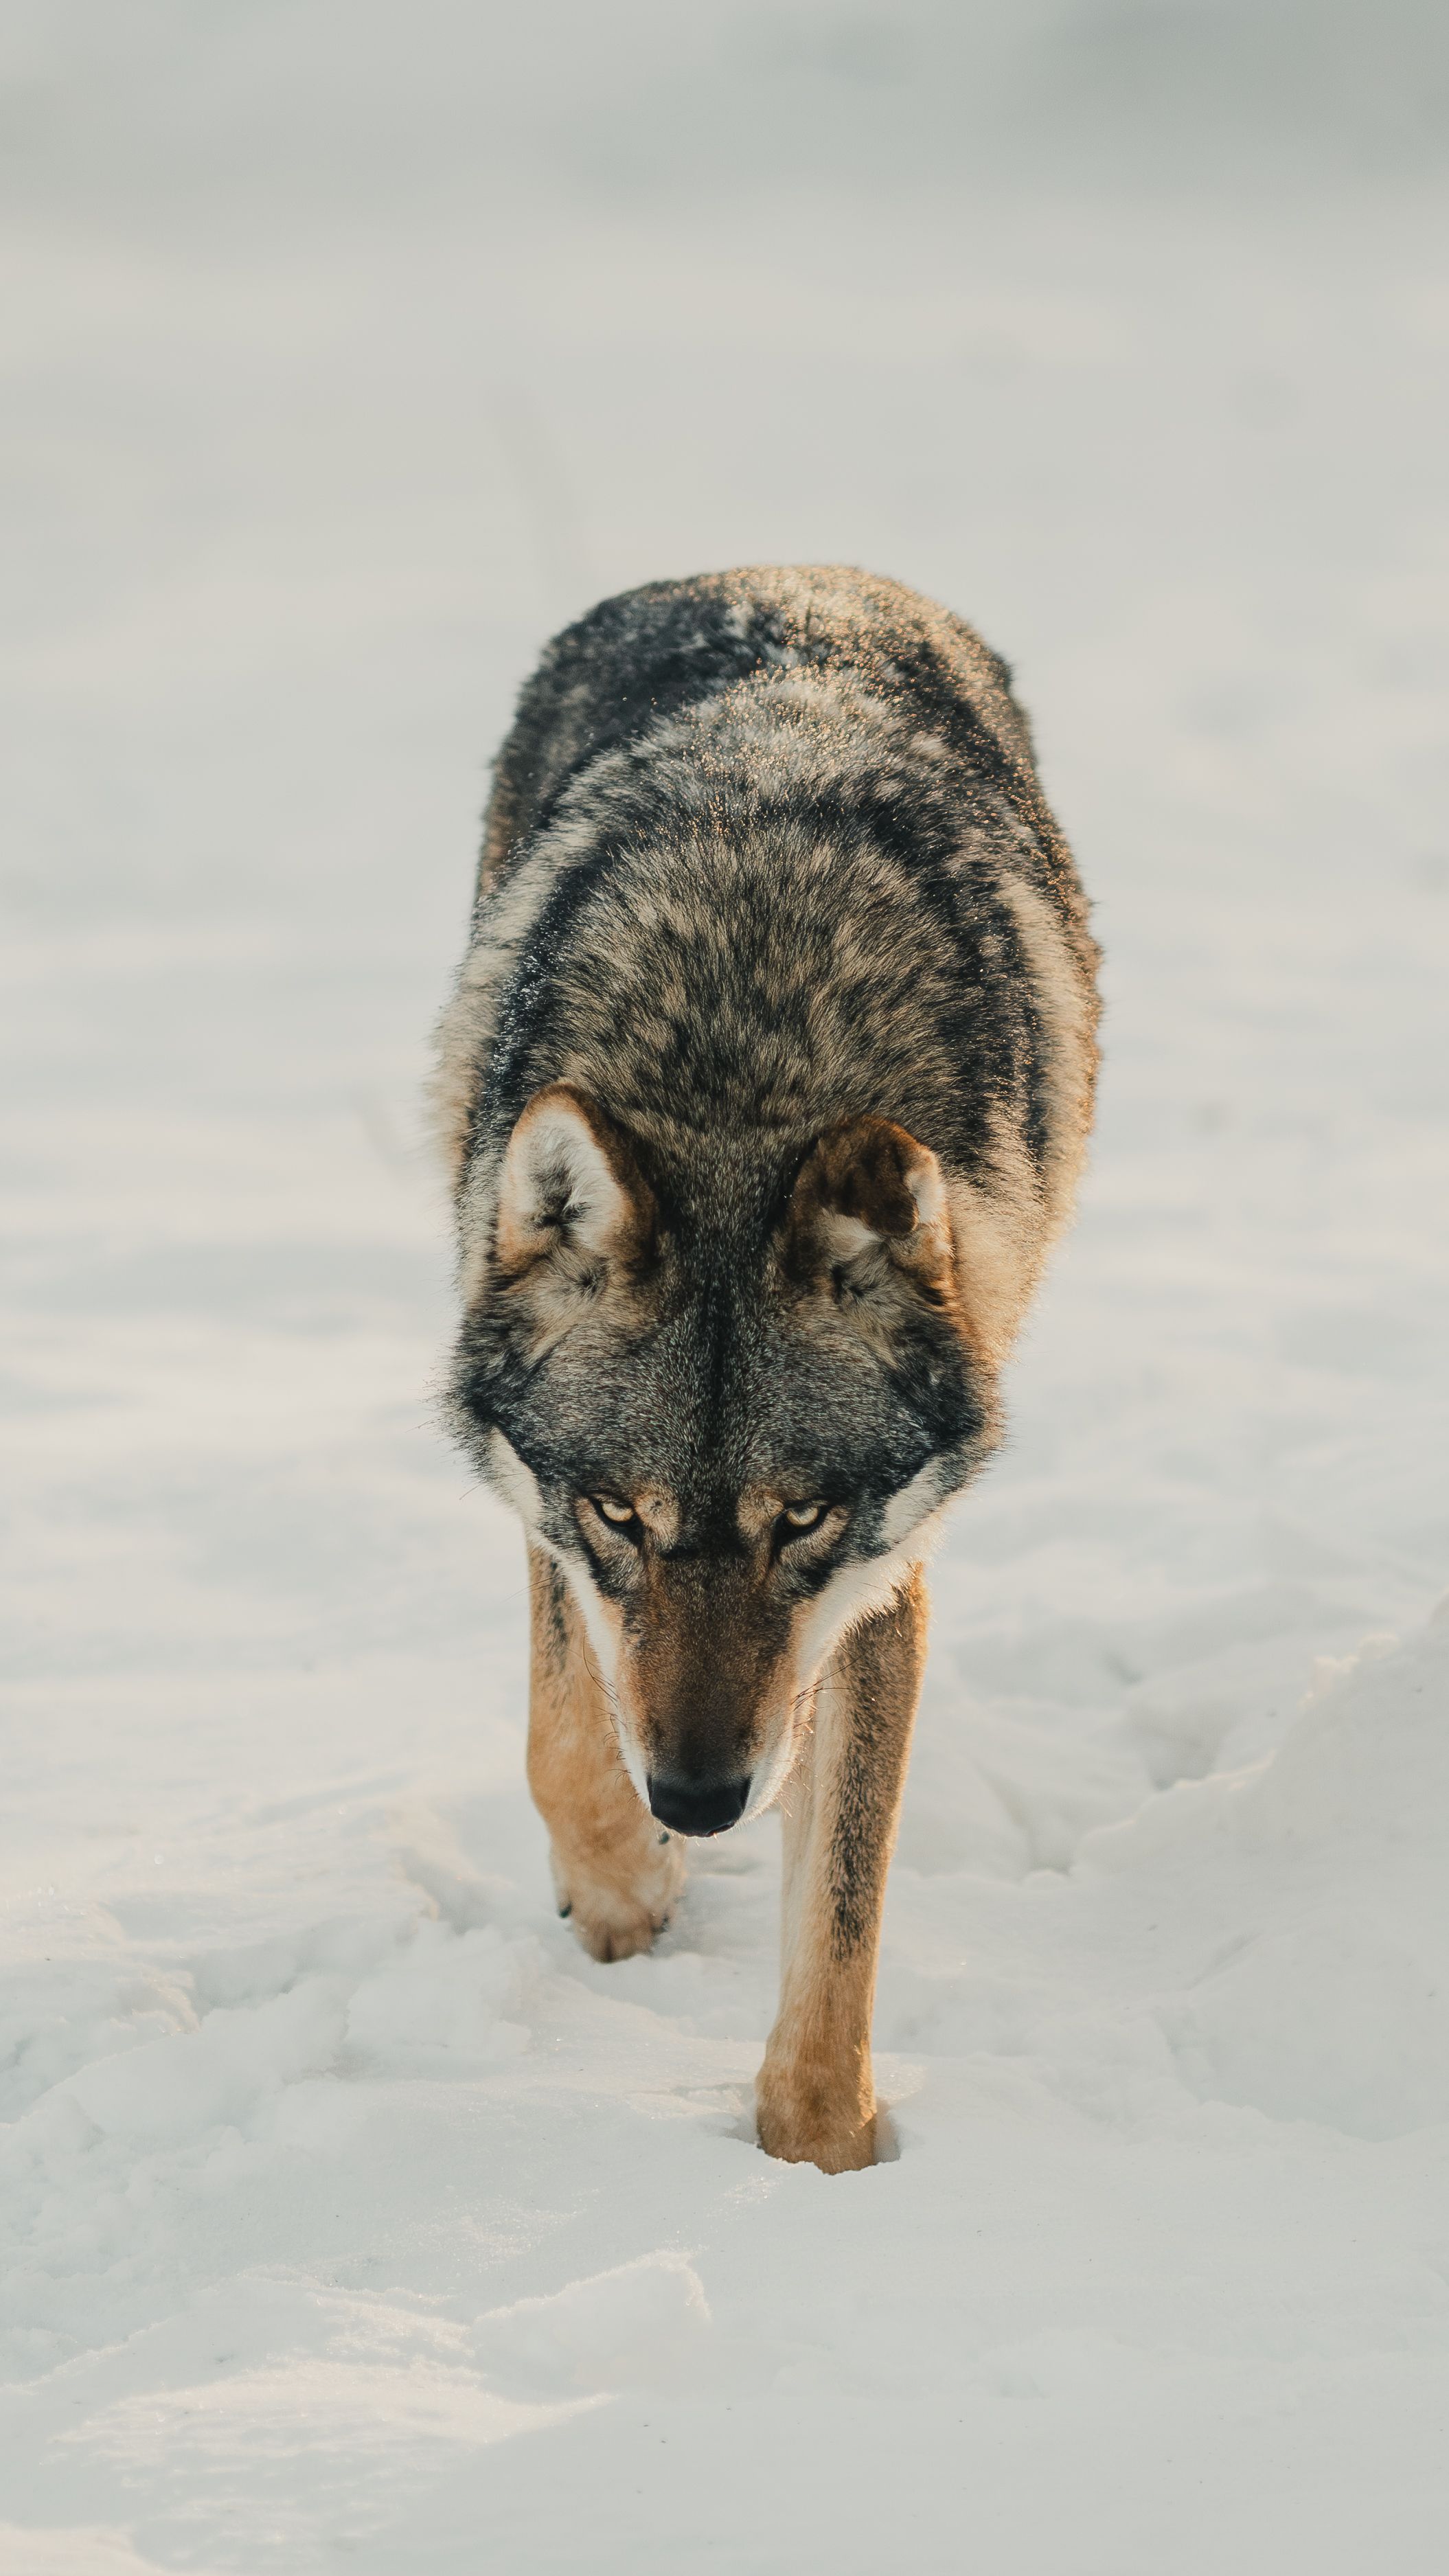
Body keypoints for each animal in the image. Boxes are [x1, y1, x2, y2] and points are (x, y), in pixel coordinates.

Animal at [433, 565, 1099, 2172]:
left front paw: (817, 2162)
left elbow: (839, 1924)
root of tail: (782, 569)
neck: (748, 1069)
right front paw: (620, 1885)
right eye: (622, 1512)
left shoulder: (881, 1574)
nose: (699, 1795)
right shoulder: (547, 1510)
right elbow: (564, 1736)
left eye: (801, 1518)